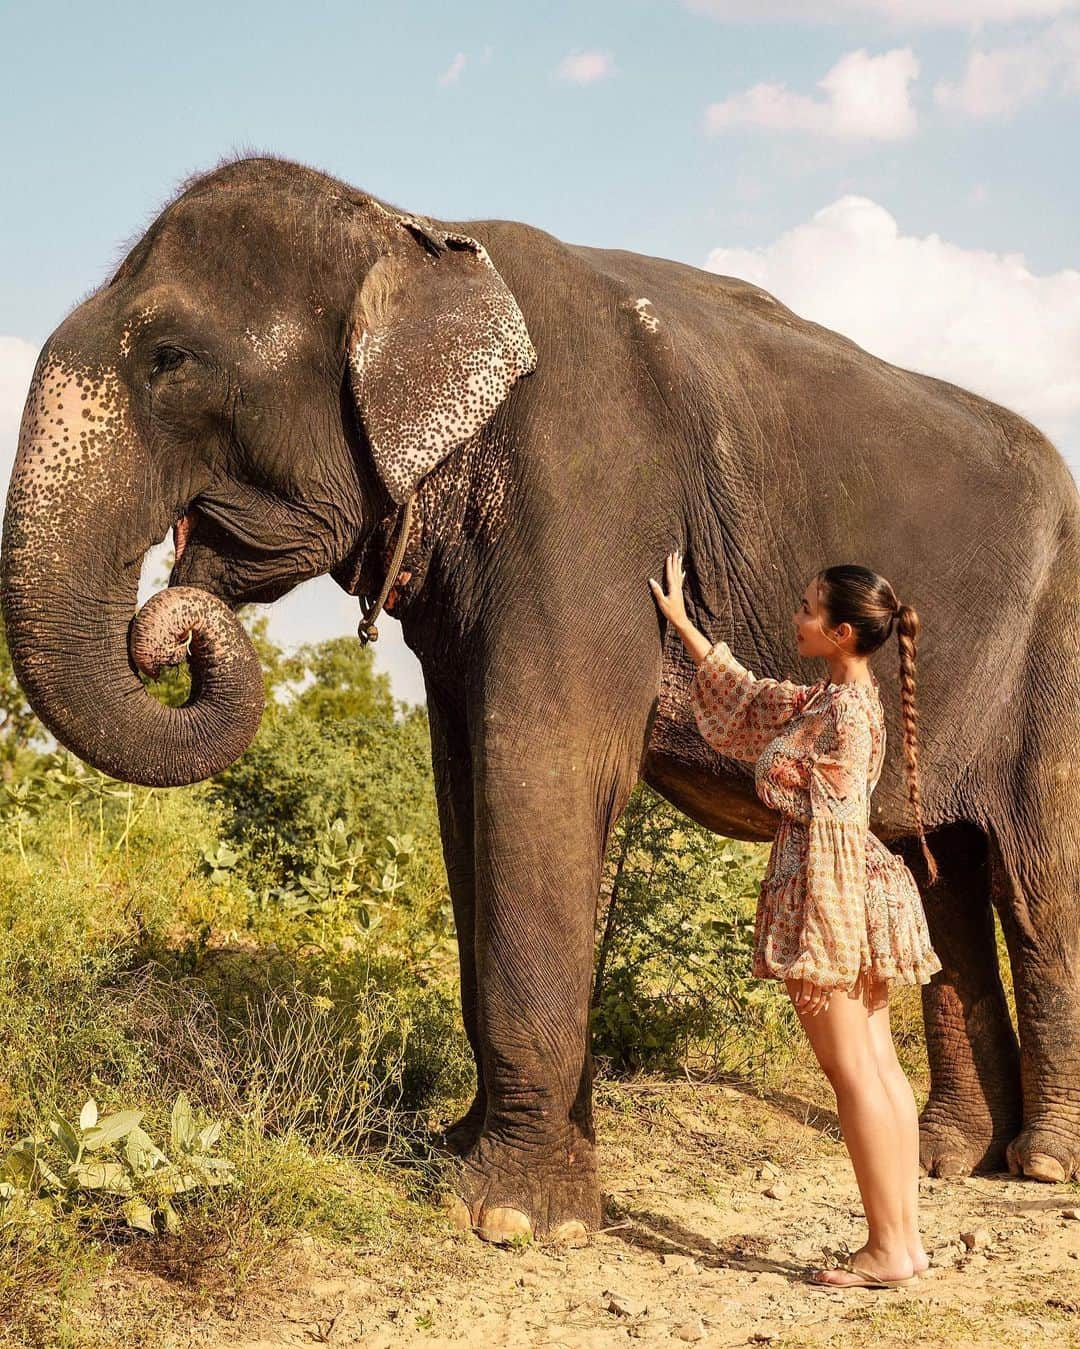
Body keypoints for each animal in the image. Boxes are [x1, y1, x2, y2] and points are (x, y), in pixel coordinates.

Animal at [2, 150, 1078, 1241]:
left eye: (168, 358)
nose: (167, 629)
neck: (413, 228)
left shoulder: (584, 497)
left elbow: (541, 776)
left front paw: (516, 1218)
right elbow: (466, 788)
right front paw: (466, 1155)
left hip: (1057, 642)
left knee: (1038, 881)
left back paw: (1038, 1163)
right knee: (944, 876)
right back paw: (955, 1156)